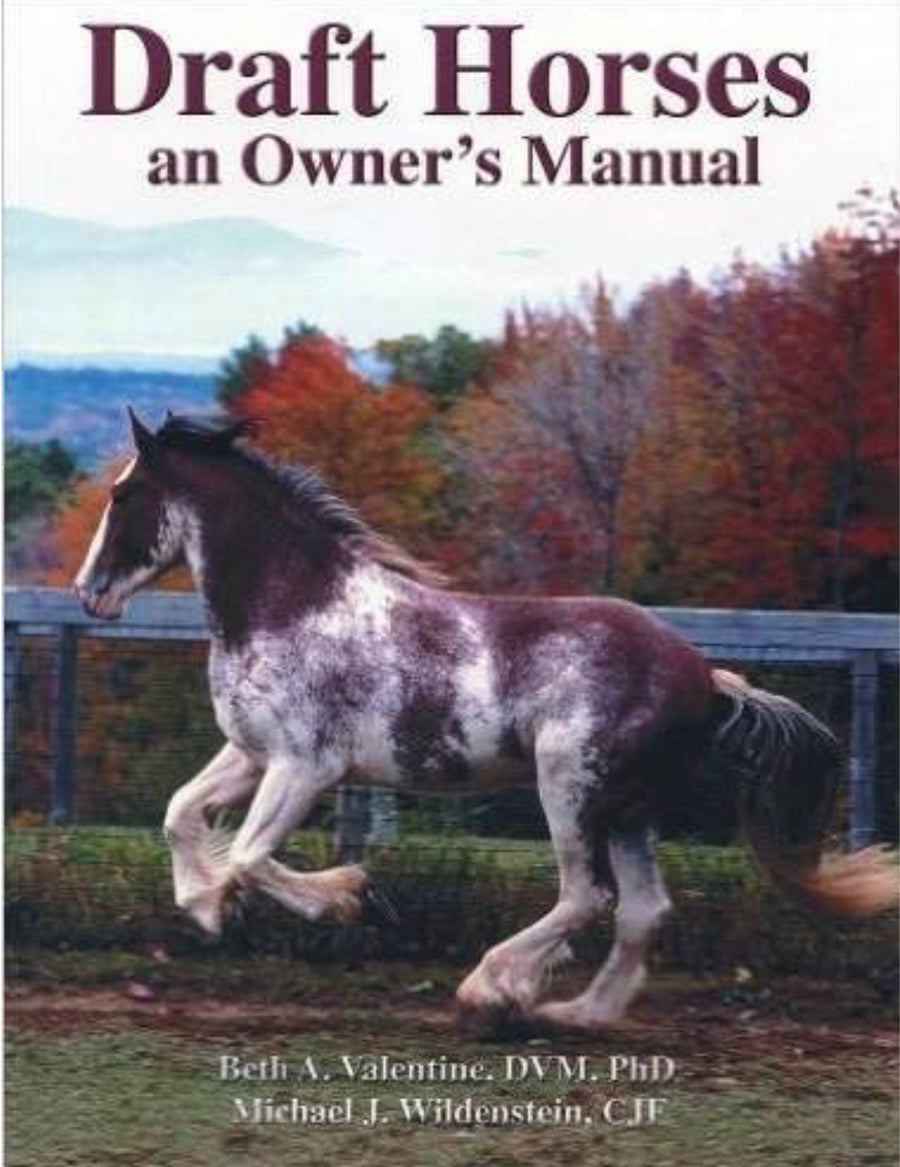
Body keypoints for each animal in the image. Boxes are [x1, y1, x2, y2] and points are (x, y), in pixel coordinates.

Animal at [74, 410, 895, 1031]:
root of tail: (708, 678)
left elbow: (248, 854)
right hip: (628, 811)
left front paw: (349, 898)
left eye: (125, 492)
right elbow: (180, 814)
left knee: (588, 897)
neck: (293, 605)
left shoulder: (304, 766)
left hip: (569, 789)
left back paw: (491, 990)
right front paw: (209, 909)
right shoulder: (250, 751)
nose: (90, 592)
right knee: (642, 910)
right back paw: (574, 1014)